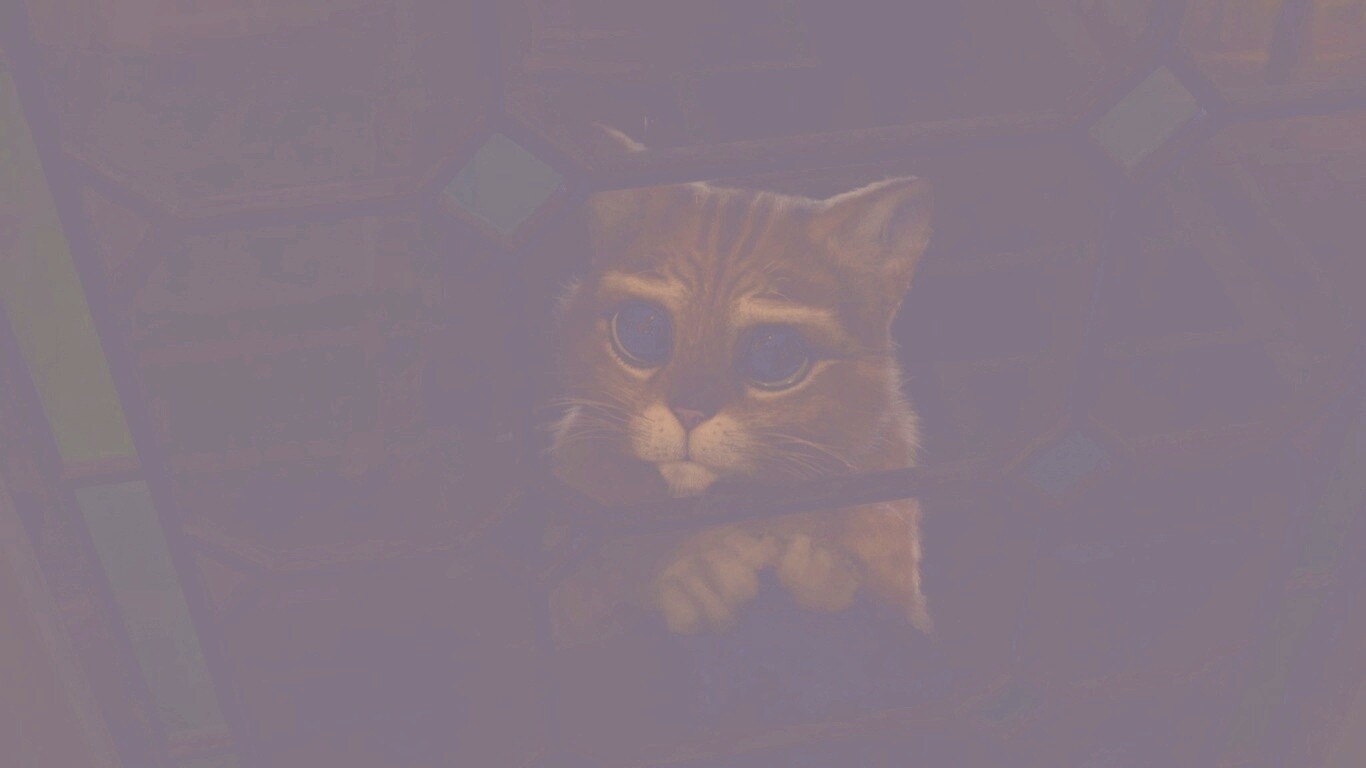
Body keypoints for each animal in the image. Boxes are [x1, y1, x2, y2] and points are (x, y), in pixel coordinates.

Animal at [549, 126, 933, 636]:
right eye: (643, 327)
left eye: (774, 351)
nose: (689, 412)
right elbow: (594, 588)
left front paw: (819, 571)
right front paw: (700, 575)